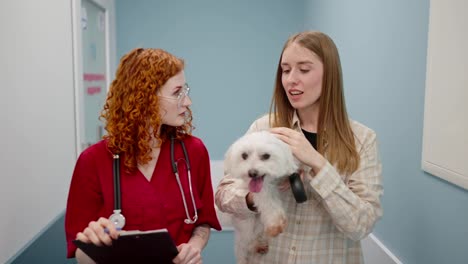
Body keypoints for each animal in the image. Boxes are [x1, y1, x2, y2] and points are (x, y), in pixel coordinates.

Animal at [224, 131, 300, 262]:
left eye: (266, 156)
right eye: (244, 155)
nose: (252, 173)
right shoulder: (261, 191)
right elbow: (268, 203)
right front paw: (275, 224)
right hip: (246, 221)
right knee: (246, 241)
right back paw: (256, 245)